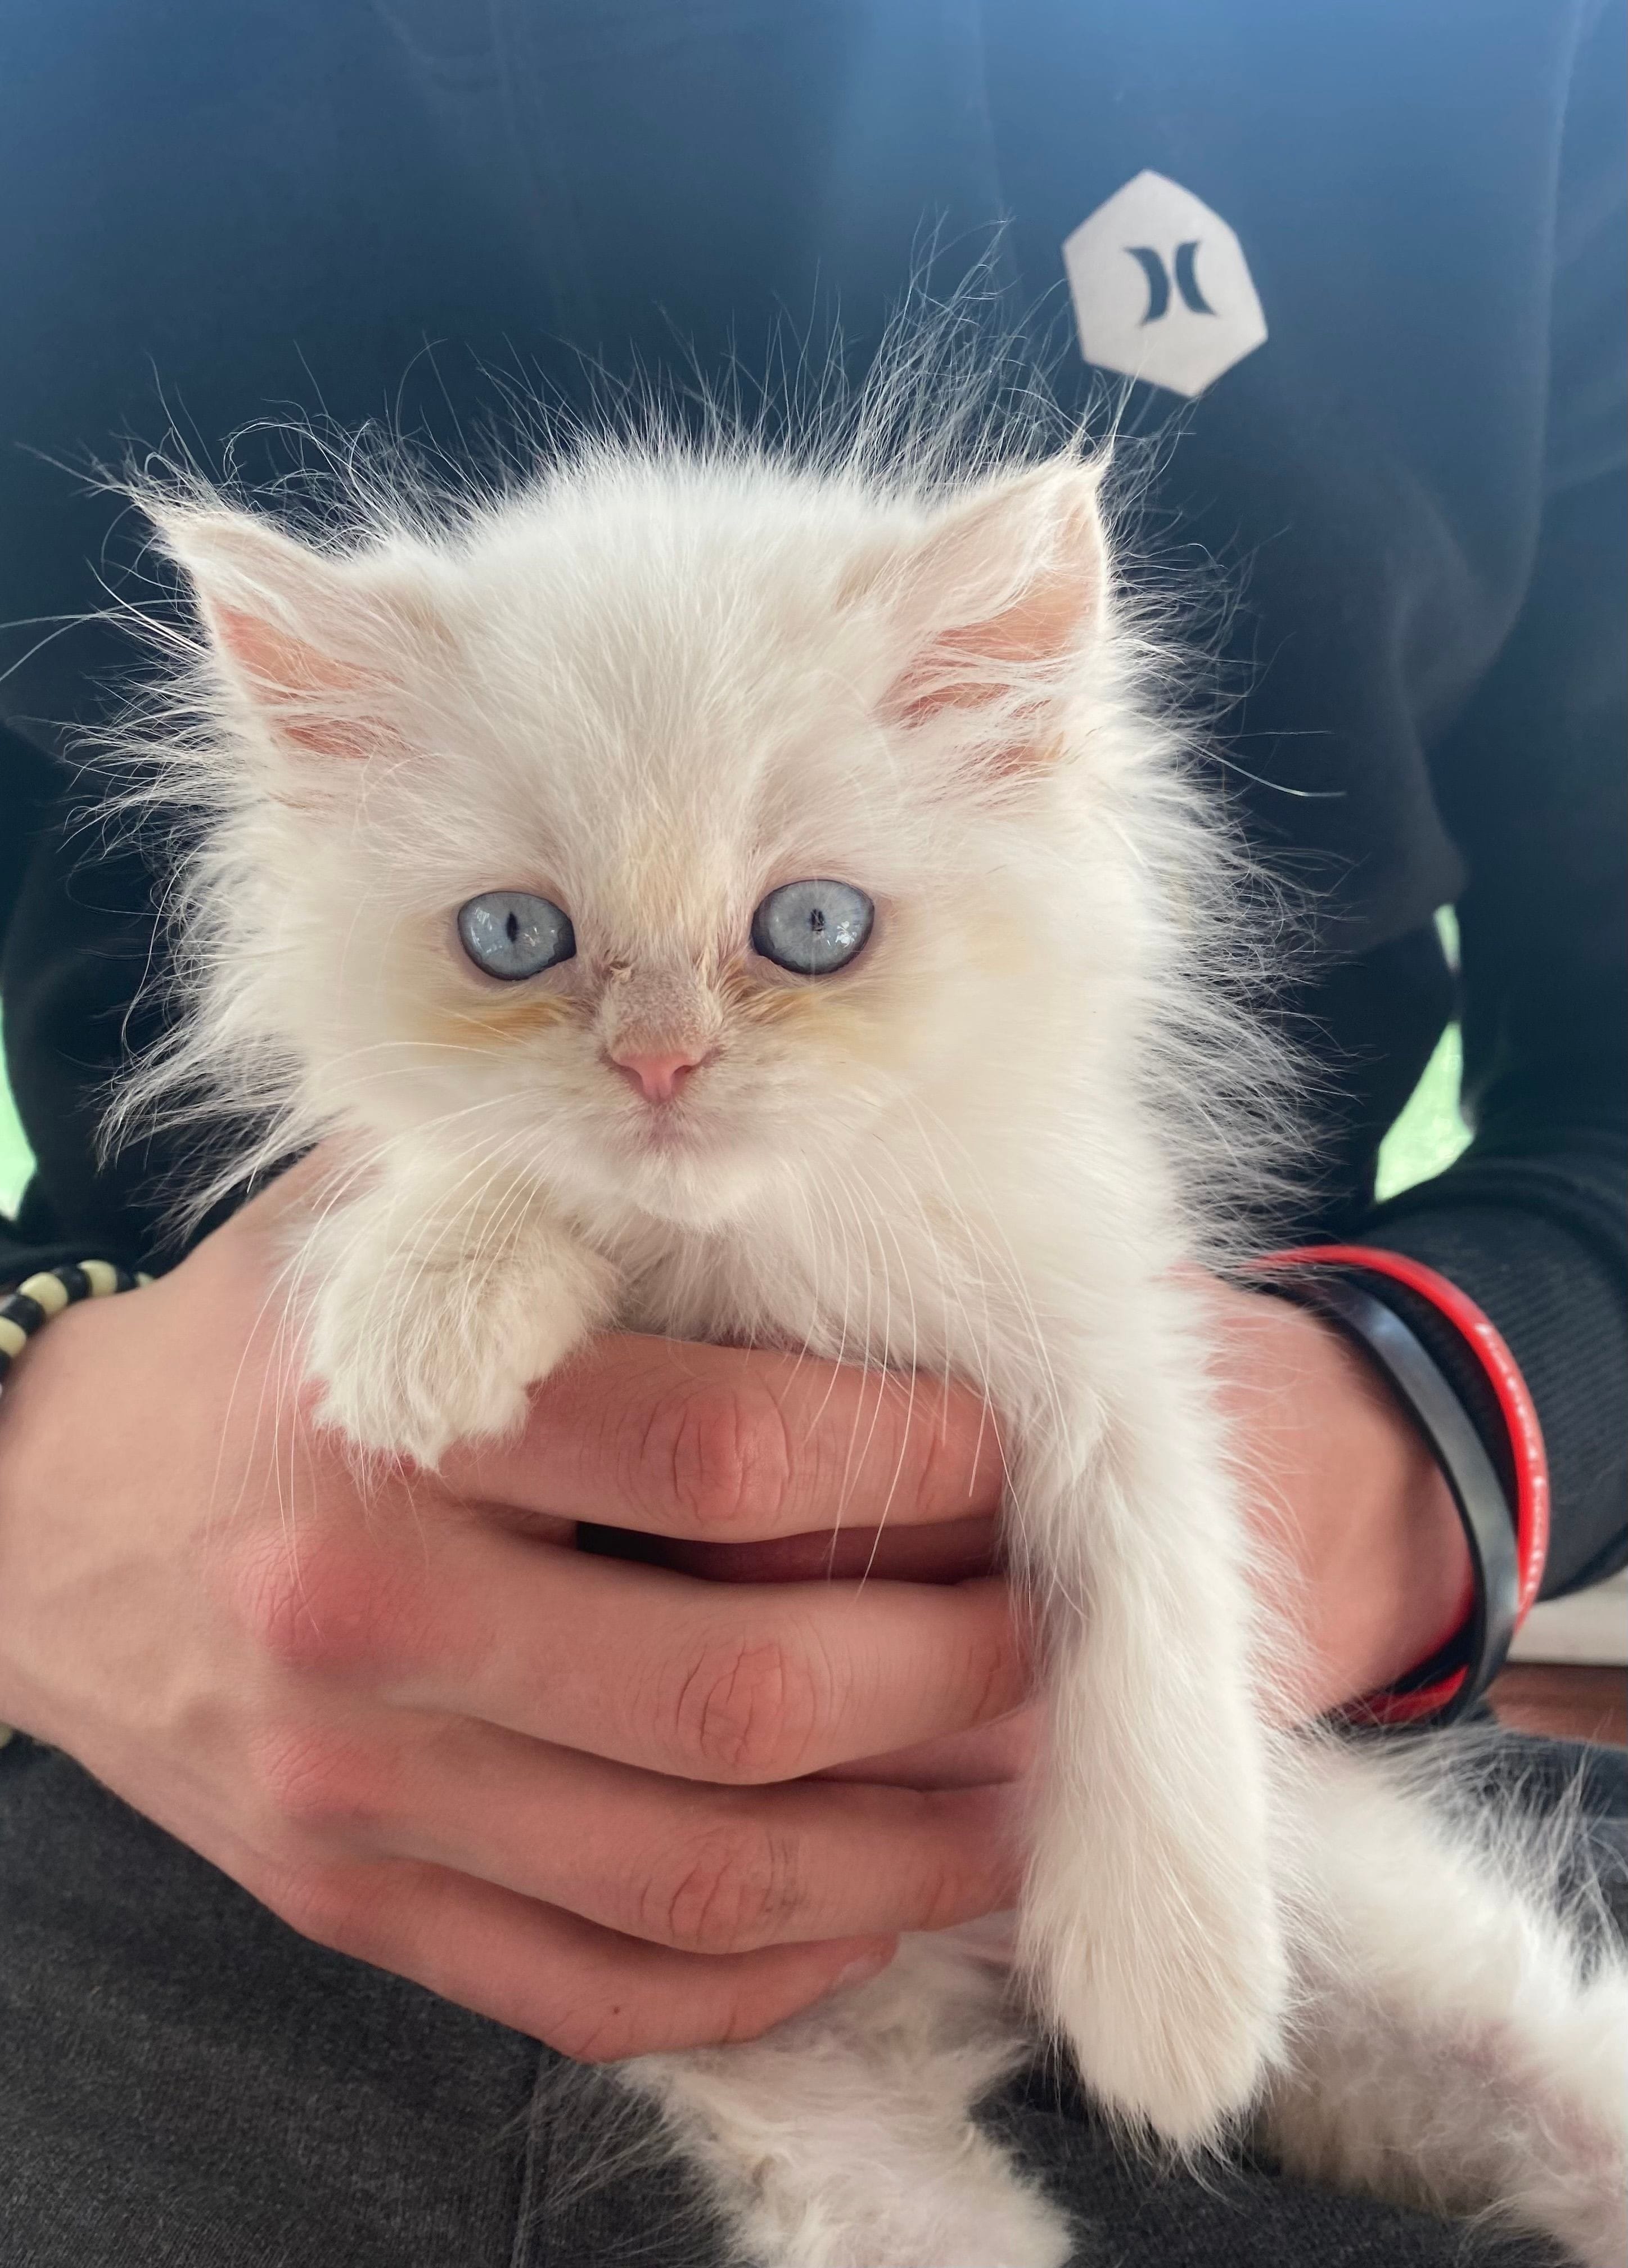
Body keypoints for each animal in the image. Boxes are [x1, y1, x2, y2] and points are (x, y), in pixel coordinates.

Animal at [121, 412, 1623, 2268]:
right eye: (515, 939)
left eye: (813, 930)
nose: (660, 1066)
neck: (753, 1255)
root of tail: (954, 2002)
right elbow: (475, 1164)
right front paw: (429, 1306)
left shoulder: (1115, 1348)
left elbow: (1153, 1617)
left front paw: (1173, 2002)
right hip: (828, 2136)